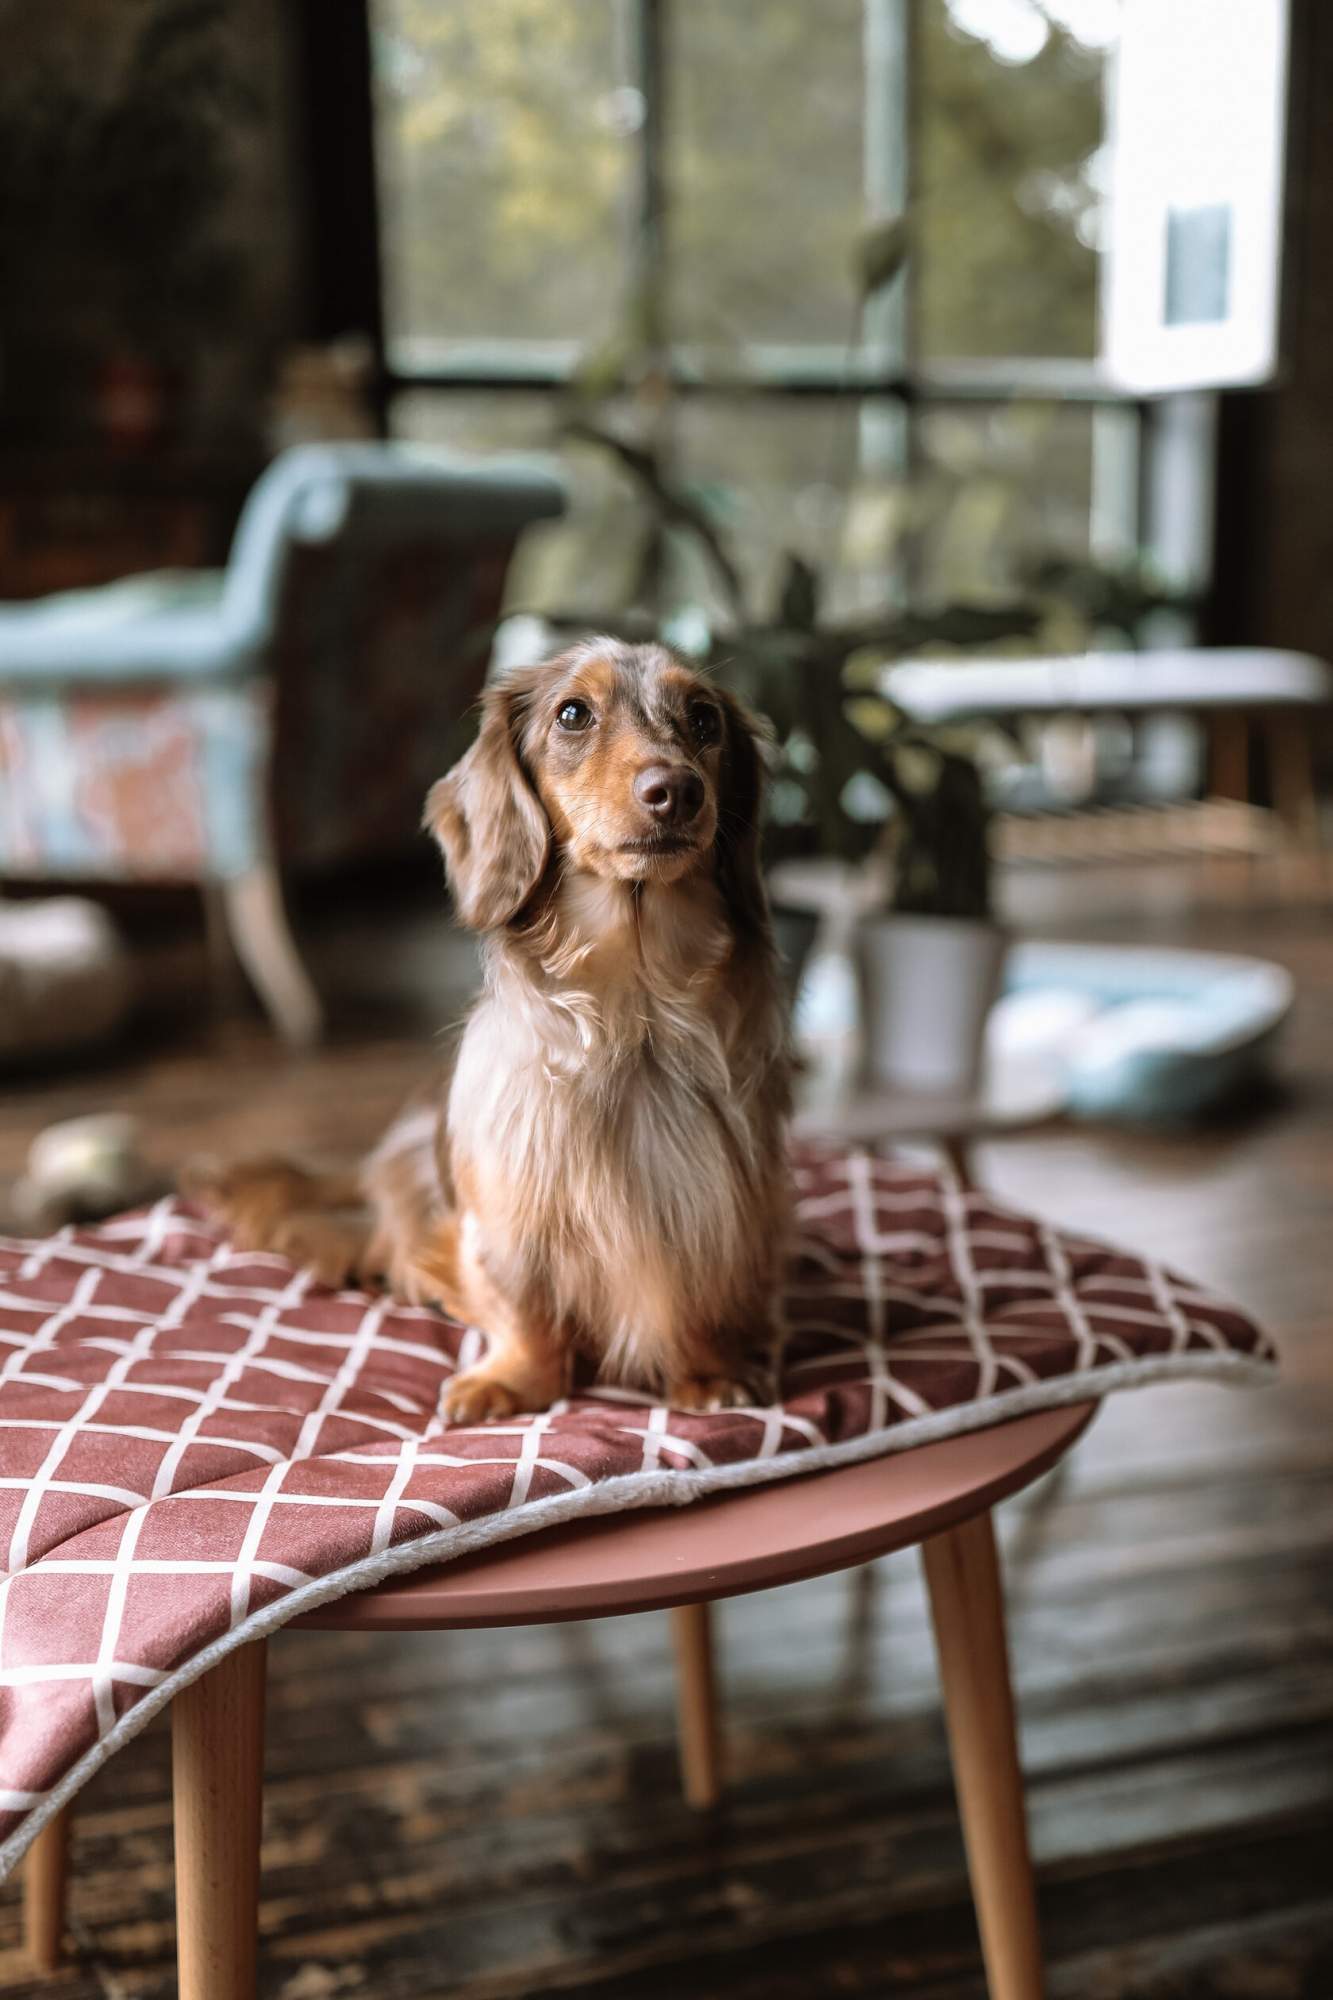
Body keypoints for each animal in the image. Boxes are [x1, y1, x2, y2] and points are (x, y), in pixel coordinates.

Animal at [197, 640, 788, 1424]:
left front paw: (708, 1373)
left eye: (703, 718)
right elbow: (524, 1310)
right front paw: (513, 1380)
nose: (678, 791)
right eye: (573, 714)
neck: (633, 1011)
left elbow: (699, 1298)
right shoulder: (509, 1215)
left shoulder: (720, 1208)